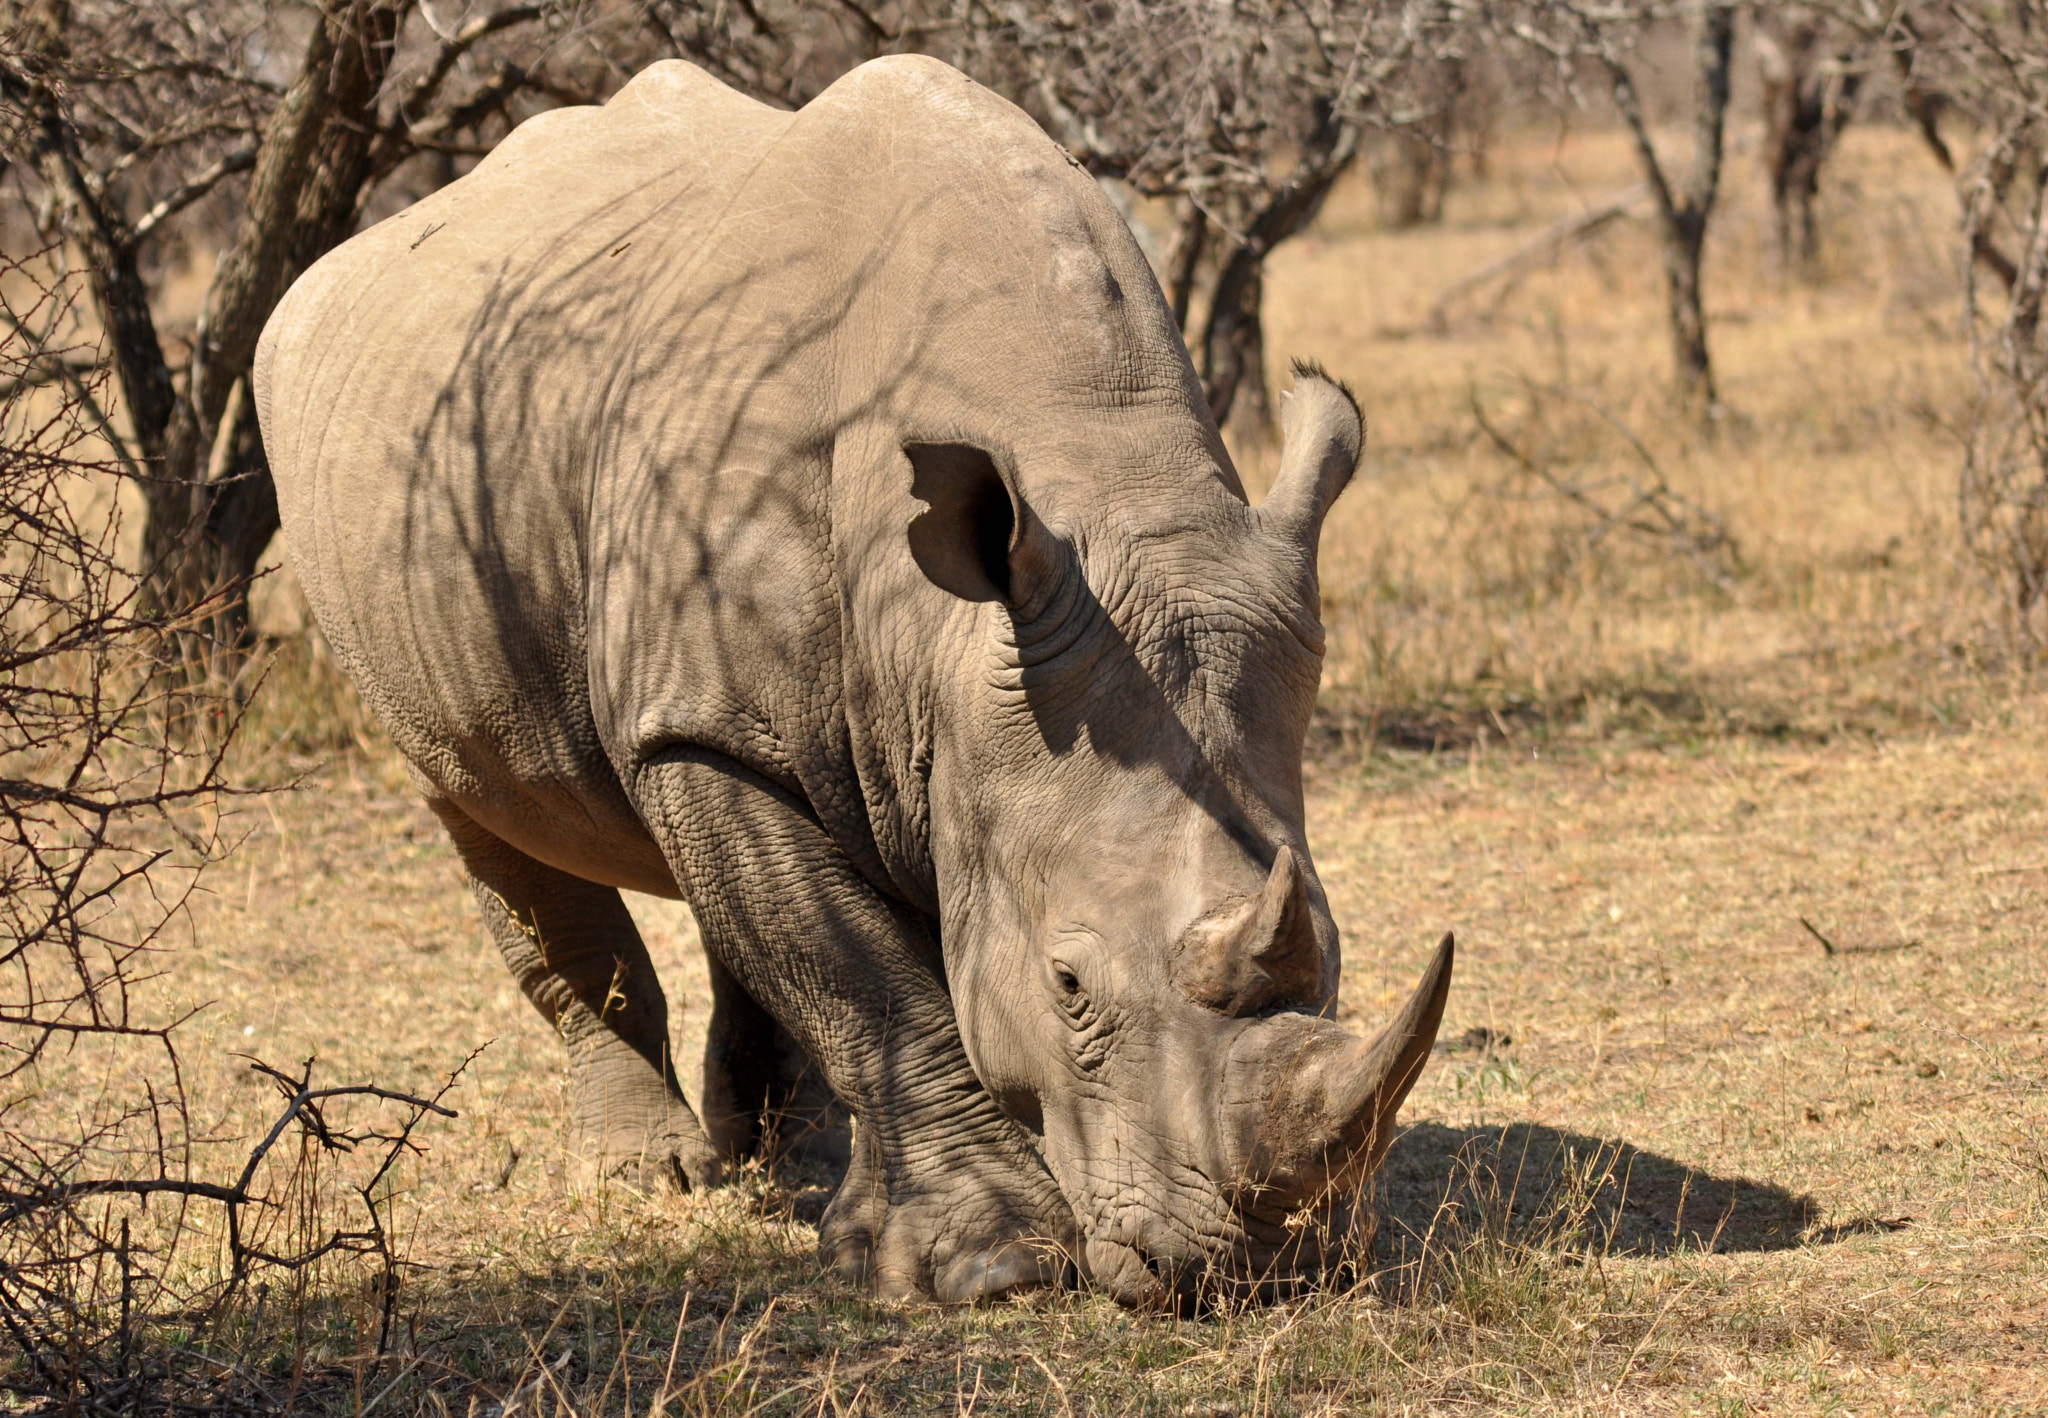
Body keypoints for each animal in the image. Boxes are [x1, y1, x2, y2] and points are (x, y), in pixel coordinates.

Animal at [255, 55, 1452, 1307]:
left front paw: (880, 1235)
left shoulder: (954, 727)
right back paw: (655, 1180)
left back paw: (793, 1165)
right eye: (1069, 982)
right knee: (487, 802)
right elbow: (864, 974)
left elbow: (841, 947)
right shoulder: (714, 721)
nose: (1263, 1269)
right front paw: (992, 1267)